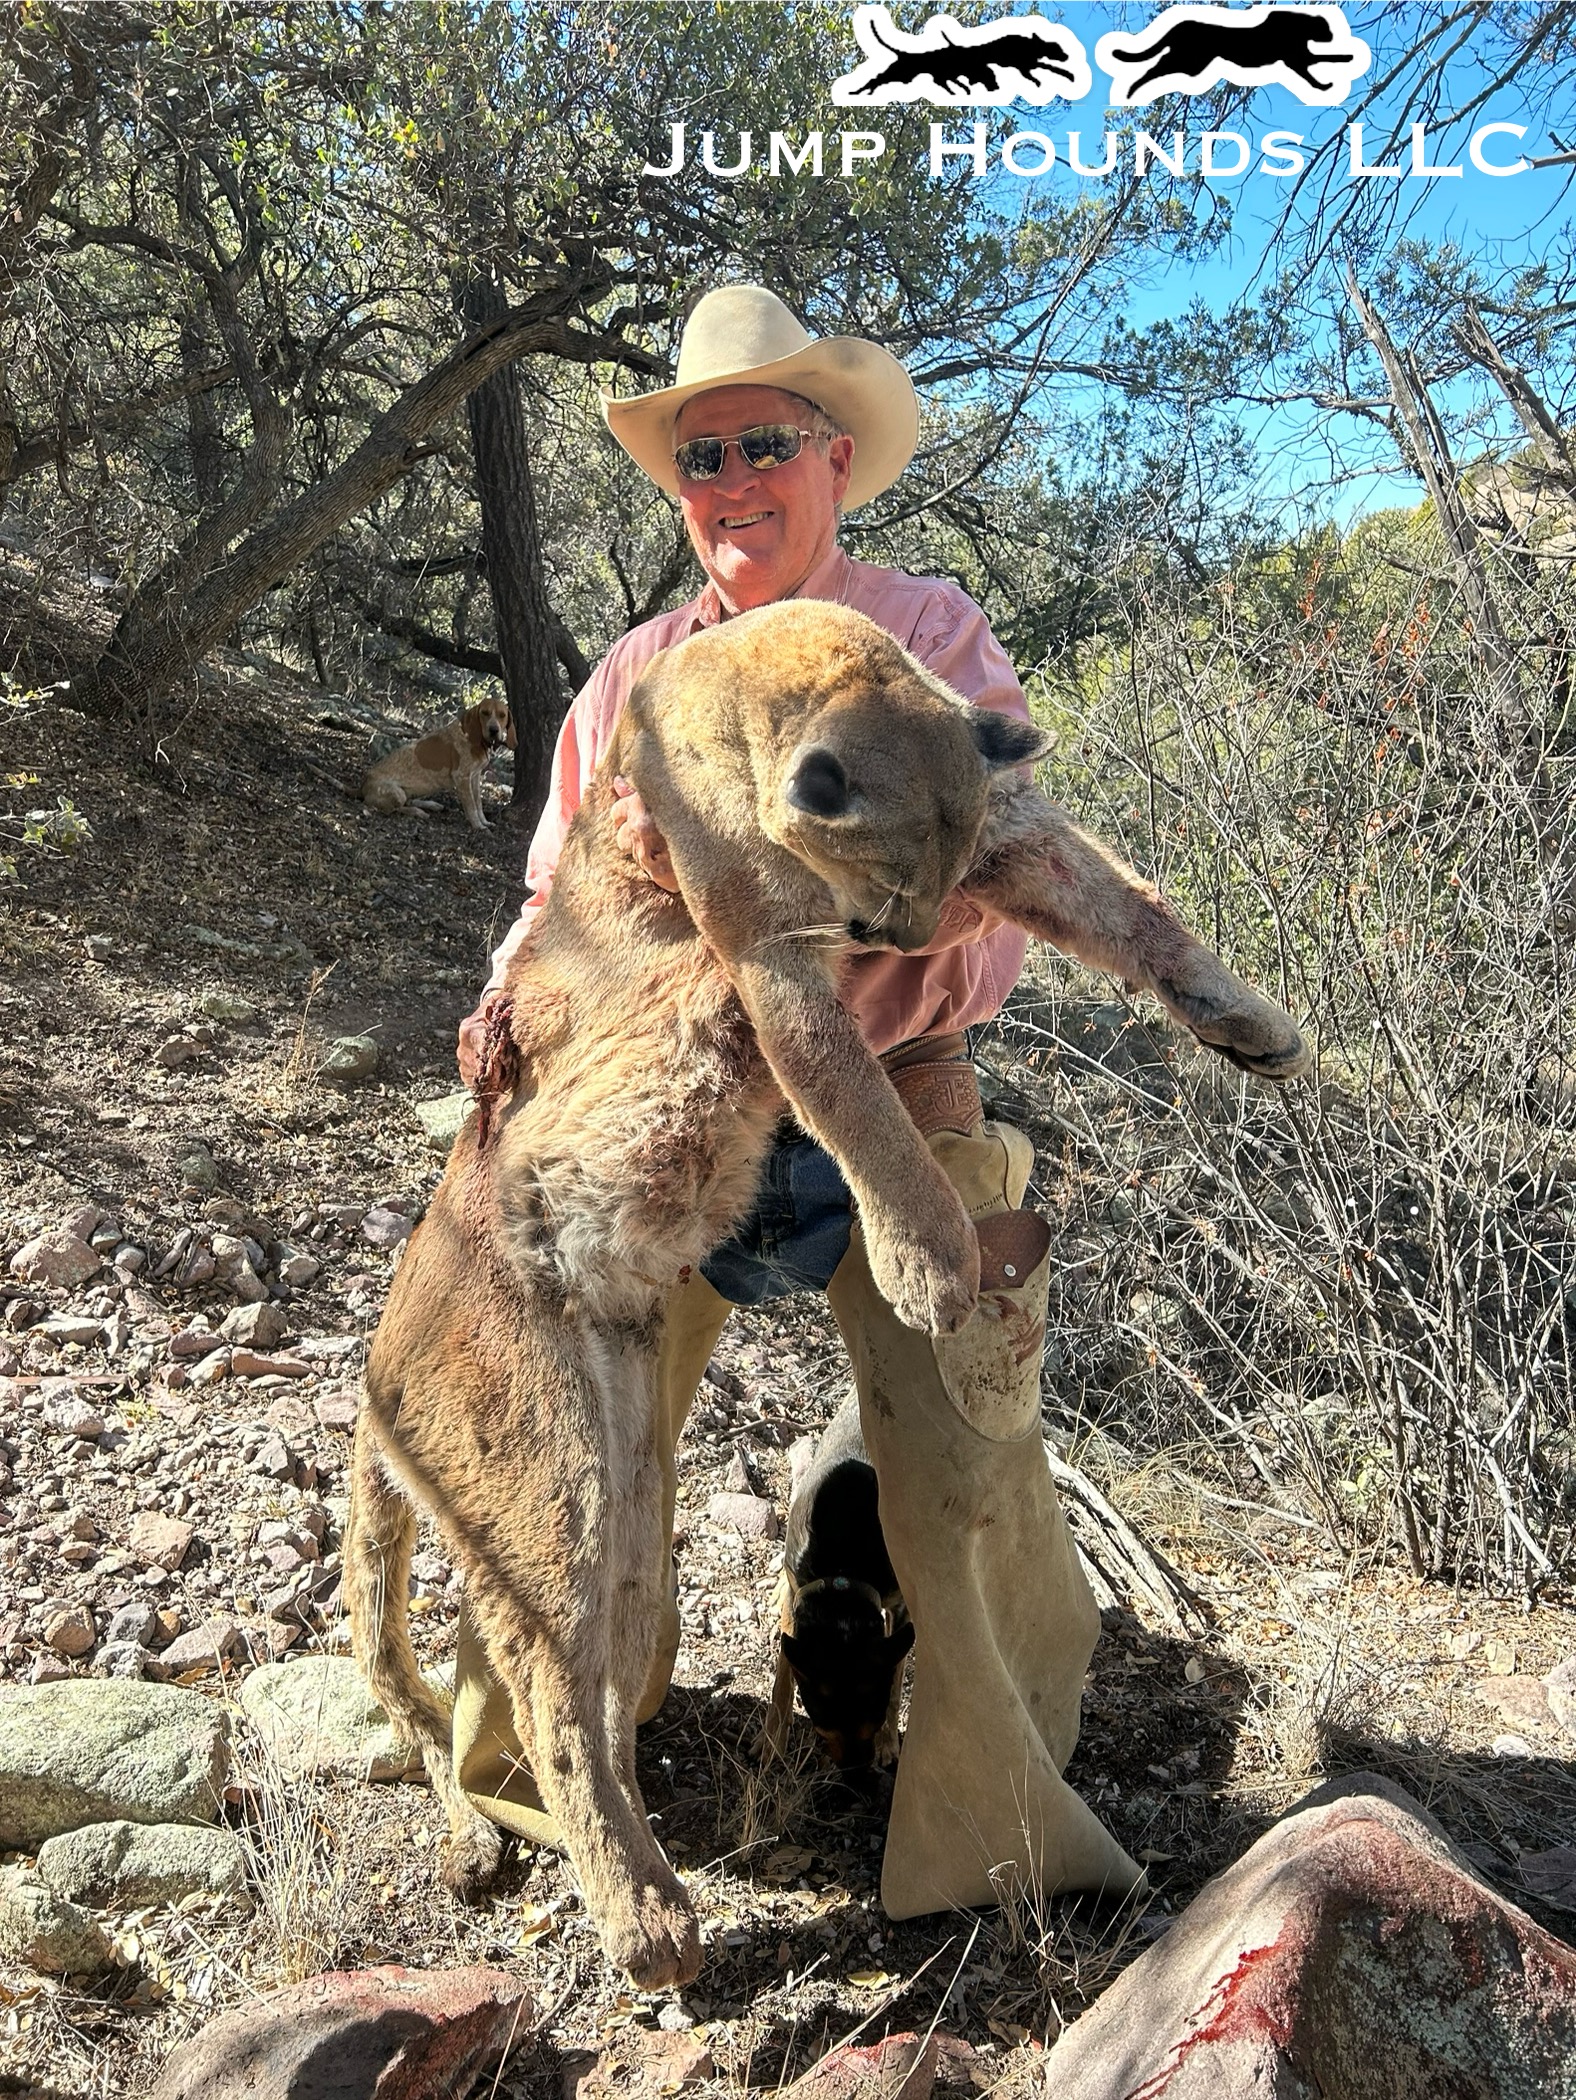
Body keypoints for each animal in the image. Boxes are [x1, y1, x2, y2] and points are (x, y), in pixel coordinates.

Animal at [362, 694, 514, 829]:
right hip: (397, 793)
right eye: (484, 713)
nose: (494, 730)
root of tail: (362, 787)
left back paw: (432, 805)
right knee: (396, 809)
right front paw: (478, 826)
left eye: (502, 715)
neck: (476, 740)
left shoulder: (475, 777)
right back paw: (419, 812)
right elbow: (471, 806)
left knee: (408, 802)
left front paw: (485, 822)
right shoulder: (462, 777)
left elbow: (478, 803)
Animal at [764, 1390, 913, 1772]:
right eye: (823, 1725)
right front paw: (771, 1742)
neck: (846, 1571)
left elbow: (895, 1684)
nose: (855, 1773)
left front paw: (889, 1743)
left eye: (872, 1724)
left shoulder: (900, 1608)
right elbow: (783, 1678)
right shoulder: (799, 1595)